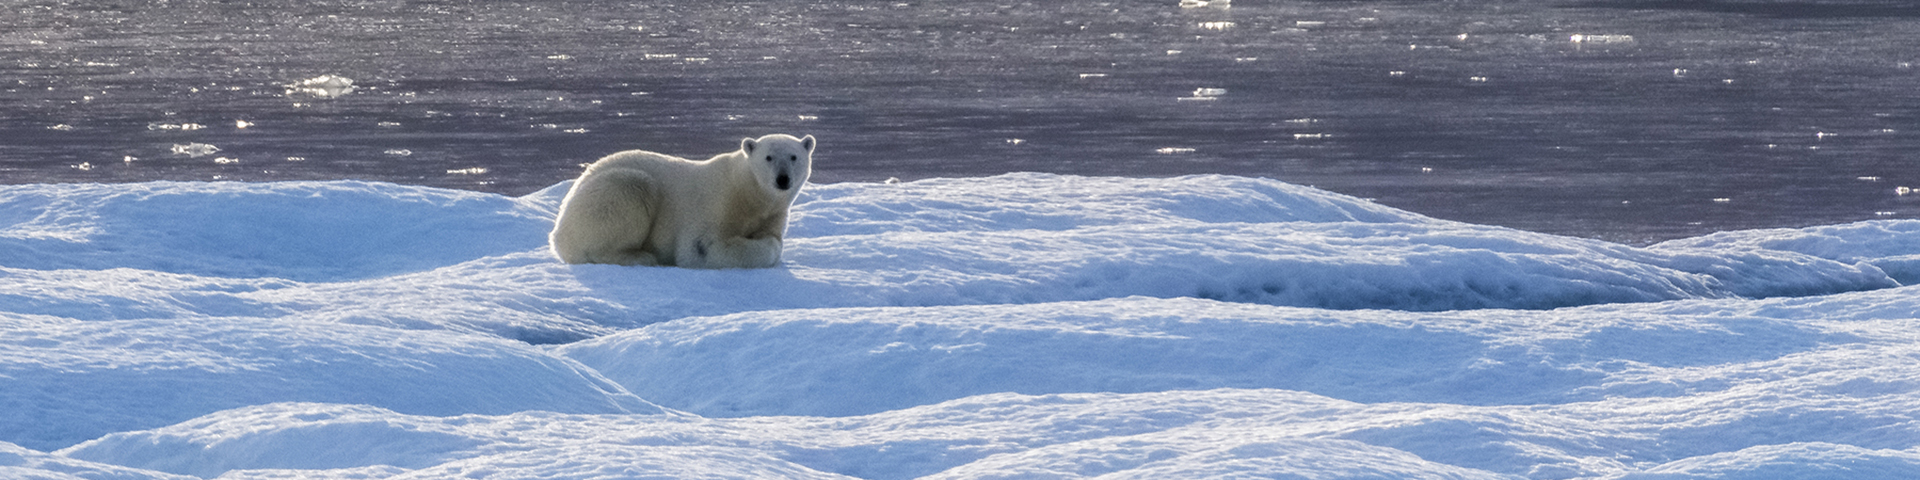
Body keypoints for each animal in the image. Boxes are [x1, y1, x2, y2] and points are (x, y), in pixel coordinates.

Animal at [545, 134, 814, 270]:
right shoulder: (716, 202)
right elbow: (702, 247)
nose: (782, 179)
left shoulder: (773, 212)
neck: (747, 190)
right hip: (612, 193)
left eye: (794, 157)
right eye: (769, 157)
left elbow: (772, 236)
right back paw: (640, 256)